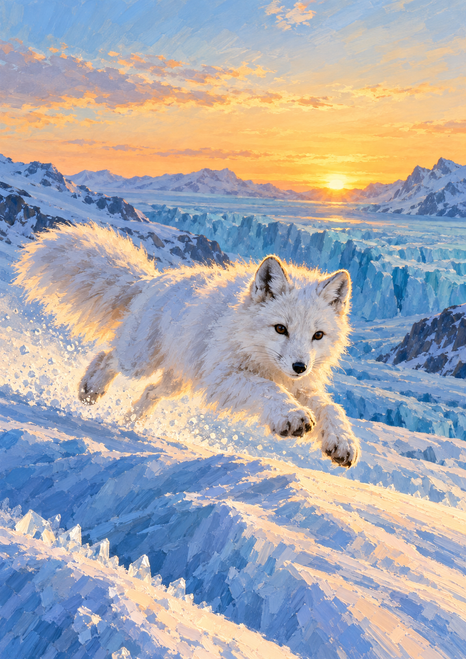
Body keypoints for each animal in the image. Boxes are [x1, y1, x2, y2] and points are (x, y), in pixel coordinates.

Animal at [14, 222, 360, 468]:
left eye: (318, 335)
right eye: (280, 329)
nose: (299, 367)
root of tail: (151, 281)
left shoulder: (302, 386)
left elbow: (330, 407)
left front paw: (342, 443)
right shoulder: (224, 376)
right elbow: (268, 391)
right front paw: (291, 417)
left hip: (179, 381)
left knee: (149, 393)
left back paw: (130, 424)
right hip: (141, 362)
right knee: (108, 355)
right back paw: (91, 388)